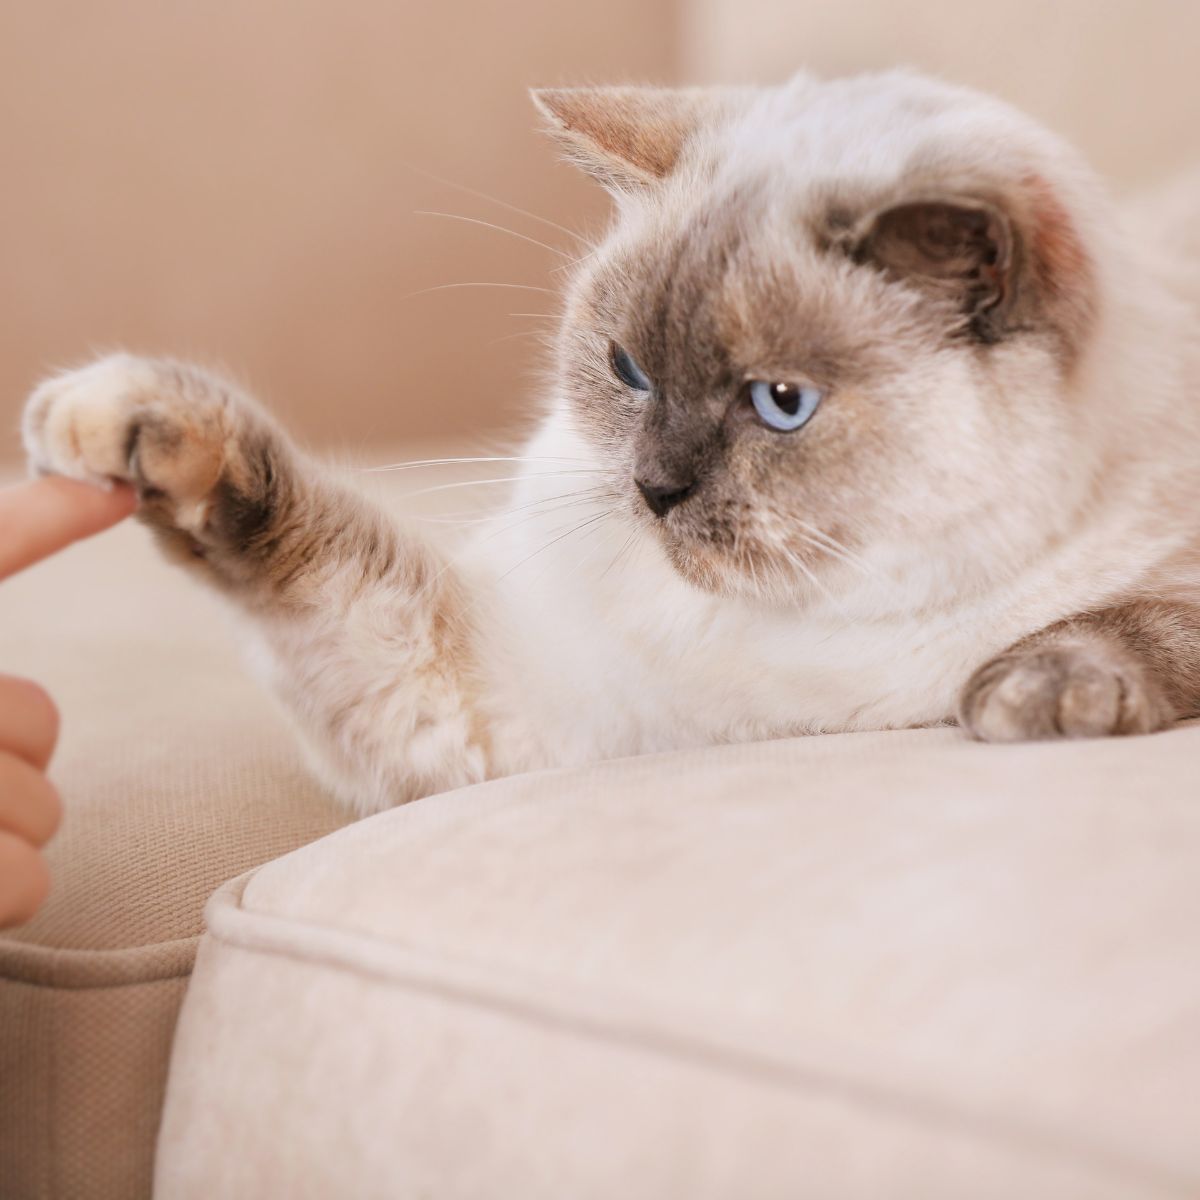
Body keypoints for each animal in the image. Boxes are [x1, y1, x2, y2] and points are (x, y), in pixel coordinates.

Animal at [18, 68, 1200, 816]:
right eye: (628, 370)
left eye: (780, 403)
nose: (653, 488)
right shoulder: (500, 697)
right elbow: (302, 541)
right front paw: (119, 425)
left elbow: (1144, 618)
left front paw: (1036, 694)